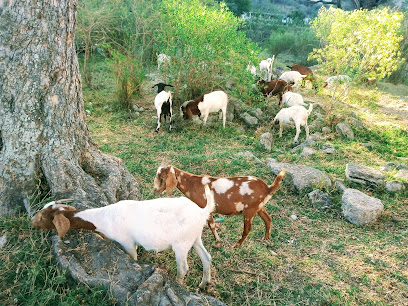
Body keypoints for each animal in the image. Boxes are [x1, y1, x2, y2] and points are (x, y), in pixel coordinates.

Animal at [31, 185, 215, 288]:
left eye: (42, 217)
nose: (32, 222)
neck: (104, 217)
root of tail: (202, 211)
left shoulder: (127, 243)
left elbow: (133, 258)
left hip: (181, 244)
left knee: (183, 268)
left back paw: (179, 283)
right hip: (195, 237)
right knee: (207, 257)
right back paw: (203, 284)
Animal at [151, 166, 286, 247]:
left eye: (162, 178)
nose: (155, 189)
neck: (192, 184)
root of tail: (267, 188)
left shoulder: (206, 208)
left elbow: (211, 225)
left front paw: (217, 242)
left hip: (249, 210)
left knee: (248, 229)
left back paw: (236, 245)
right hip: (259, 207)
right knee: (268, 219)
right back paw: (266, 238)